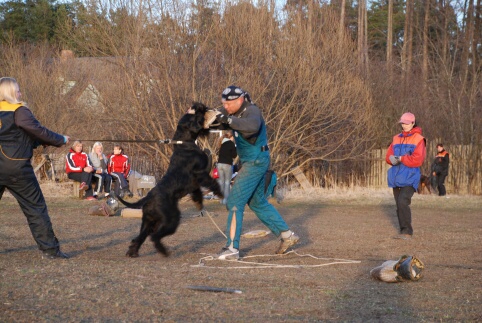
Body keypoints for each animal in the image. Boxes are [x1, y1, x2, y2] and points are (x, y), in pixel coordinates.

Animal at [116, 104, 222, 258]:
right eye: (199, 113)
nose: (210, 109)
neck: (185, 144)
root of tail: (148, 197)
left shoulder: (194, 184)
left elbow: (197, 193)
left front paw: (199, 203)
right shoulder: (201, 174)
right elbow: (212, 181)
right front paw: (221, 192)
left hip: (148, 221)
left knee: (139, 237)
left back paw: (133, 252)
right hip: (170, 220)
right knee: (154, 236)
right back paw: (163, 251)